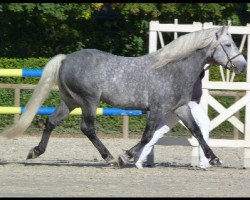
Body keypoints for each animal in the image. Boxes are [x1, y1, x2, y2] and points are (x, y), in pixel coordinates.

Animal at [1, 26, 246, 167]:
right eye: (228, 44)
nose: (243, 66)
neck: (172, 68)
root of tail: (66, 58)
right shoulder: (157, 109)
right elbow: (147, 136)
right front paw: (126, 156)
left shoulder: (181, 108)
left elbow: (197, 132)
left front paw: (214, 158)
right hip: (89, 101)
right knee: (87, 128)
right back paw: (109, 158)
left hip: (70, 101)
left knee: (51, 121)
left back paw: (35, 152)